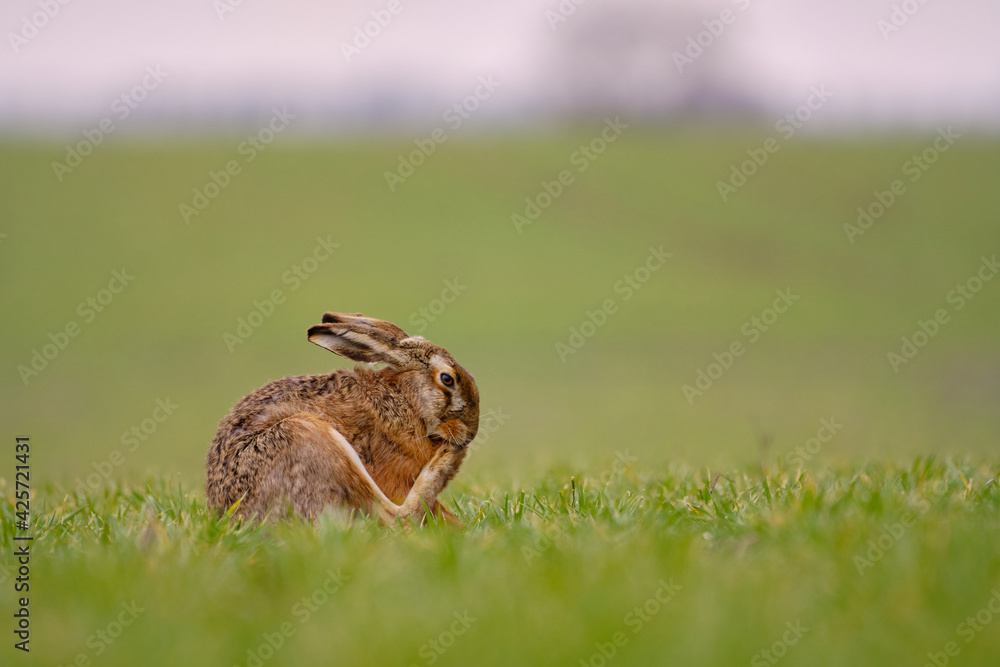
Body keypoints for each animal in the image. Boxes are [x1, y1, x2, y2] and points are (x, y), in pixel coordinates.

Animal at [205, 312, 479, 524]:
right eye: (447, 379)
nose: (470, 432)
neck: (407, 399)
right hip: (307, 437)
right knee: (398, 518)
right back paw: (447, 460)